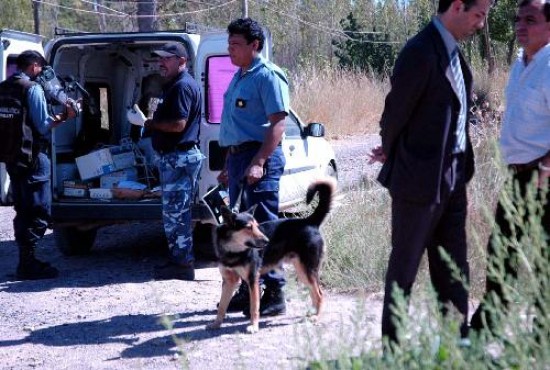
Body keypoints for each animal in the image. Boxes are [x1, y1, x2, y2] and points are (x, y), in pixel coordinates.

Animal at [207, 178, 336, 334]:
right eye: (248, 227)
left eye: (257, 226)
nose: (267, 241)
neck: (233, 250)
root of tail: (309, 221)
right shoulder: (228, 281)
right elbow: (222, 307)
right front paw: (216, 324)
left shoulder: (253, 280)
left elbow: (254, 307)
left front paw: (254, 326)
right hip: (303, 272)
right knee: (314, 294)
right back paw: (311, 314)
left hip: (308, 271)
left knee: (320, 295)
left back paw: (316, 318)